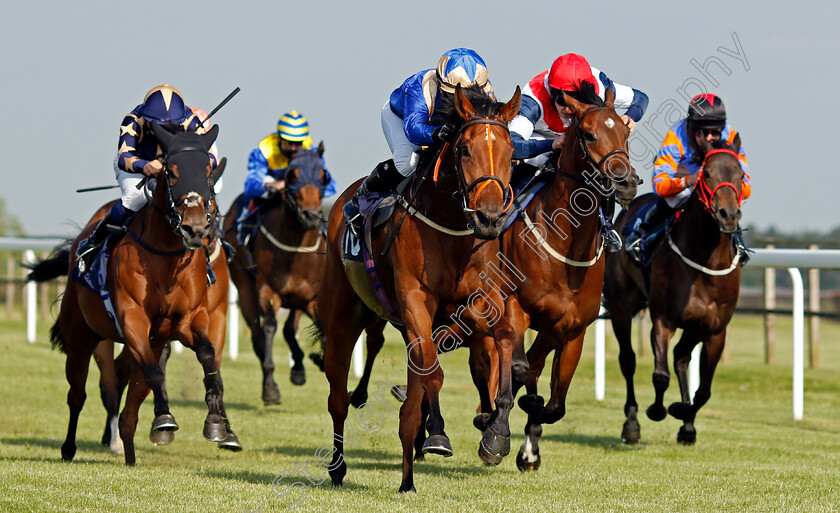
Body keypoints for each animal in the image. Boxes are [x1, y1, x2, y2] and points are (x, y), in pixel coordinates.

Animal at [47, 122, 231, 462]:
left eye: (208, 172)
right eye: (171, 171)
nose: (196, 229)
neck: (165, 257)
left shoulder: (189, 320)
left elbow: (208, 357)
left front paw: (216, 423)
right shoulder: (132, 319)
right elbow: (155, 375)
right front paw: (166, 419)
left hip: (150, 343)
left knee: (130, 402)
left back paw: (129, 451)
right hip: (82, 338)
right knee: (79, 394)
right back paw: (70, 448)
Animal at [320, 85, 520, 492]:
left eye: (511, 153)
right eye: (464, 150)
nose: (489, 217)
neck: (452, 229)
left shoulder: (478, 302)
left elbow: (505, 338)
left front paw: (497, 432)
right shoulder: (415, 301)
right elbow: (434, 374)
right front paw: (439, 433)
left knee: (408, 409)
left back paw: (407, 480)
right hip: (343, 317)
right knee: (338, 398)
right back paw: (337, 467)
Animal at [470, 85, 640, 472]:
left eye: (625, 133)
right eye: (589, 134)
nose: (626, 182)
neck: (566, 247)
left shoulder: (572, 329)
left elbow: (555, 403)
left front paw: (529, 442)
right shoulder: (514, 307)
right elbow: (516, 370)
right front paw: (495, 431)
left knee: (532, 367)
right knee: (489, 366)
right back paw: (485, 417)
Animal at [604, 137, 748, 444]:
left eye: (741, 175)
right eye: (707, 174)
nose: (728, 215)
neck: (706, 262)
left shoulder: (715, 330)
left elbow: (703, 390)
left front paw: (684, 413)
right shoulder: (663, 319)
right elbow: (660, 375)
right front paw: (658, 409)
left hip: (694, 326)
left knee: (681, 358)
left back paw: (687, 424)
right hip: (621, 306)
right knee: (628, 360)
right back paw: (631, 424)